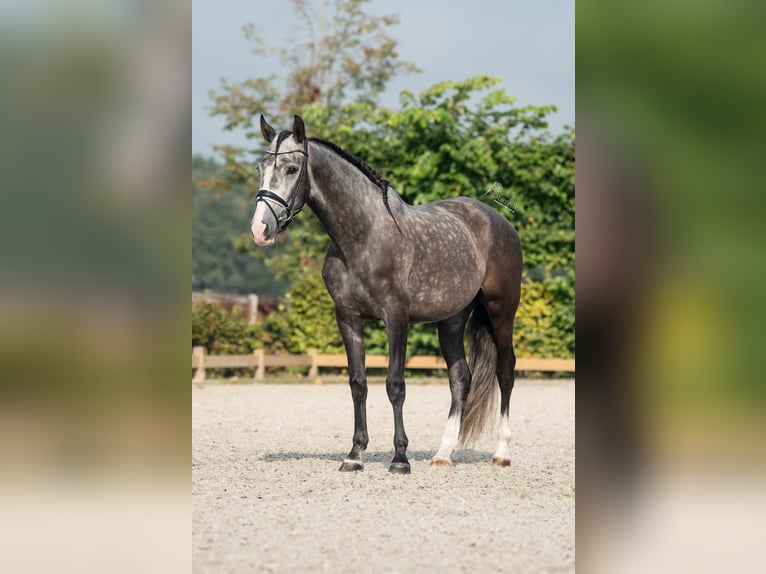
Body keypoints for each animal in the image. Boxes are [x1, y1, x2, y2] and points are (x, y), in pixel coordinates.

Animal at [255, 115, 524, 474]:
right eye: (260, 167)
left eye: (291, 169)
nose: (260, 229)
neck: (363, 236)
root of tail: (499, 221)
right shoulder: (348, 318)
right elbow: (358, 383)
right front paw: (354, 455)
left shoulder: (396, 318)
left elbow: (395, 385)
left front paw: (400, 458)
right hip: (451, 319)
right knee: (460, 377)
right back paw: (443, 453)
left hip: (501, 310)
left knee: (505, 369)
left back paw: (502, 452)